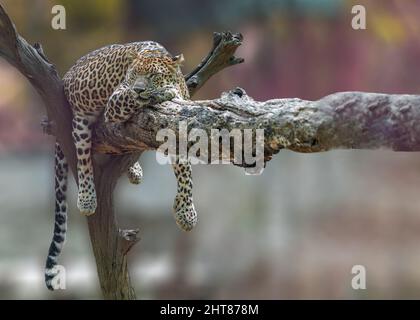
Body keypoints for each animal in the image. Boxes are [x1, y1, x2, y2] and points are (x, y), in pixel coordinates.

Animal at [43, 40, 198, 290]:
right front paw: (162, 92)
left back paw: (134, 170)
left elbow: (185, 173)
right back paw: (87, 199)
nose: (138, 88)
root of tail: (67, 75)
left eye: (153, 75)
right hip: (80, 124)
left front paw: (186, 212)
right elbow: (136, 98)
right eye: (134, 75)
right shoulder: (117, 100)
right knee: (83, 158)